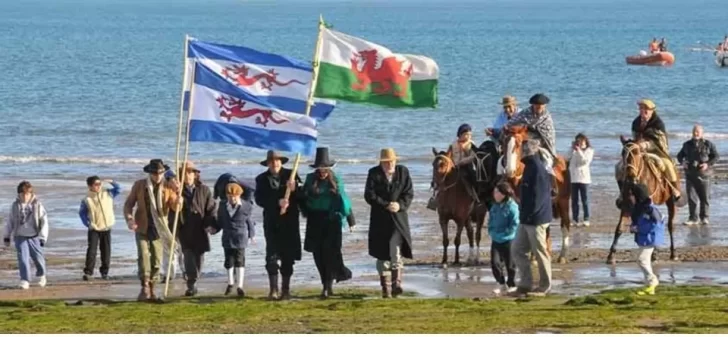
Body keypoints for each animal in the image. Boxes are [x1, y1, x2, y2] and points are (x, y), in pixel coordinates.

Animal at [500, 124, 576, 264]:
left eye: (518, 144)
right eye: (503, 143)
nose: (509, 170)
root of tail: (565, 161)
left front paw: (534, 258)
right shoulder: (521, 205)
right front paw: (532, 256)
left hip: (563, 200)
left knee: (565, 224)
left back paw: (562, 256)